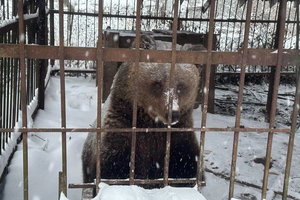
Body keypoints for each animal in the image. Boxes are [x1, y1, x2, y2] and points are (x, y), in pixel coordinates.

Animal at [81, 35, 202, 189]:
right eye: (157, 83)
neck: (152, 124)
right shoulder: (122, 133)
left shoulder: (179, 138)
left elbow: (186, 168)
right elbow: (115, 170)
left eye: (181, 86)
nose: (172, 114)